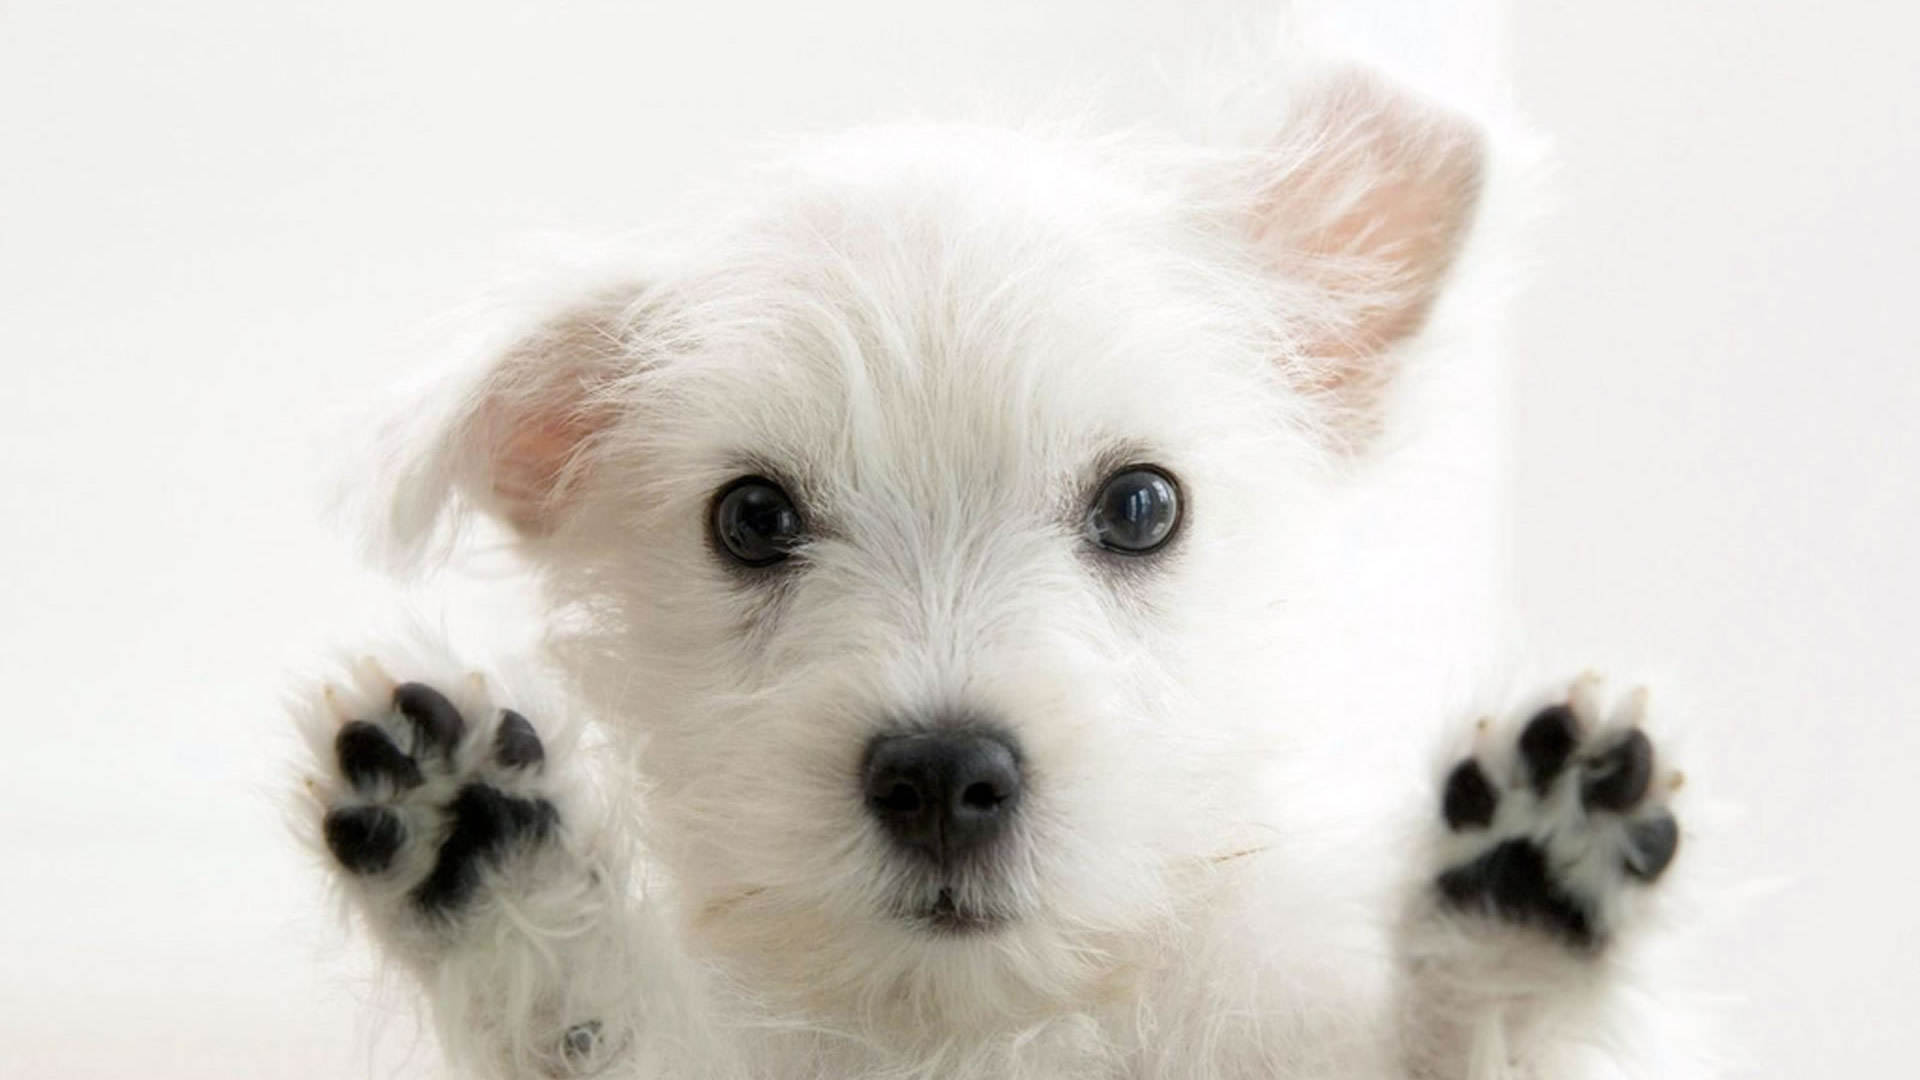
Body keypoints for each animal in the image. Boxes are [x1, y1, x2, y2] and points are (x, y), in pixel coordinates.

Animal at [291, 23, 1704, 1076]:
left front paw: (1518, 915)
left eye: (1142, 506)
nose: (941, 775)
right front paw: (492, 855)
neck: (978, 1031)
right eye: (751, 519)